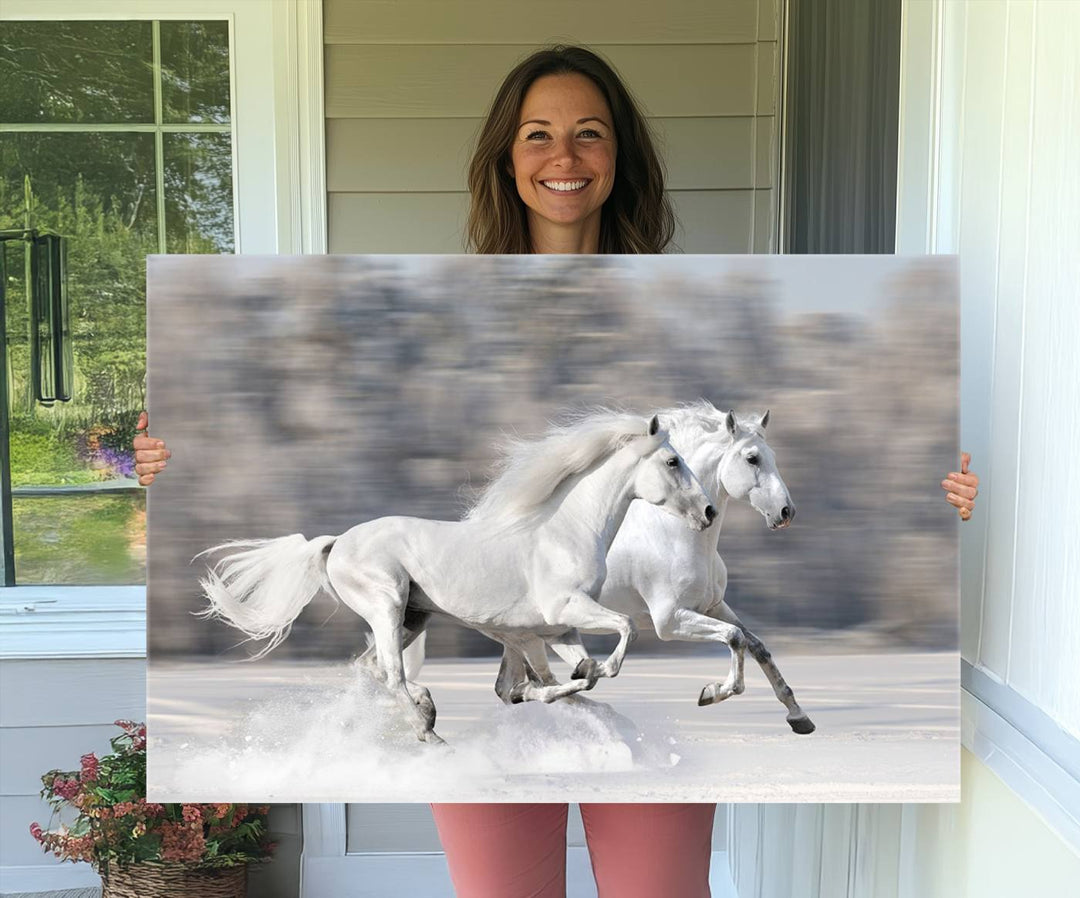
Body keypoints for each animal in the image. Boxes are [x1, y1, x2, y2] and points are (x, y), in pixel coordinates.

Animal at [196, 414, 717, 743]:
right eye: (673, 461)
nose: (709, 511)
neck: (565, 531)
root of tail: (336, 543)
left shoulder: (558, 629)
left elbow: (563, 678)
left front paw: (582, 684)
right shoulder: (563, 614)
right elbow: (618, 637)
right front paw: (594, 674)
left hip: (414, 618)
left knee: (372, 669)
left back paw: (427, 712)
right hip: (387, 606)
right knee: (390, 673)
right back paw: (428, 731)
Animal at [494, 401, 812, 739]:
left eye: (772, 455)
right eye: (752, 458)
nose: (785, 512)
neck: (676, 534)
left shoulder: (713, 606)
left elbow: (756, 645)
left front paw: (799, 716)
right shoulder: (670, 621)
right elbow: (734, 638)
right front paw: (712, 692)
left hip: (519, 634)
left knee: (510, 687)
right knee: (530, 685)